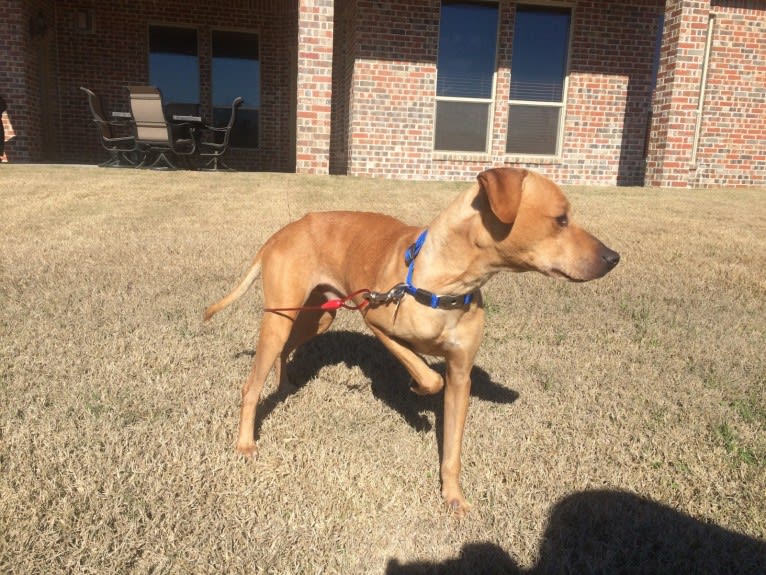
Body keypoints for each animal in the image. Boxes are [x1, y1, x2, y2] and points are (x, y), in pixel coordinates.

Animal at [204, 168, 616, 516]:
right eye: (561, 219)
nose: (614, 257)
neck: (449, 284)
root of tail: (281, 232)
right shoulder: (376, 321)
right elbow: (427, 374)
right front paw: (416, 392)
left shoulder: (461, 375)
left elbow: (452, 448)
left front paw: (453, 496)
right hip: (281, 318)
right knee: (250, 386)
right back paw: (245, 442)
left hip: (316, 315)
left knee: (285, 351)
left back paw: (287, 384)